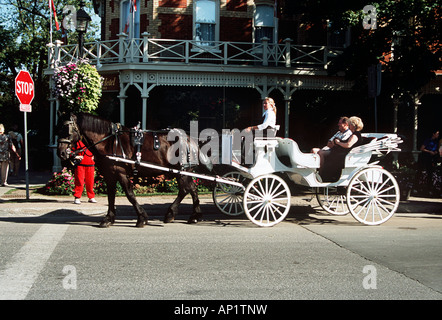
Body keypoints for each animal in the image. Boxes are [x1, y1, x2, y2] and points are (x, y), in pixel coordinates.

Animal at [57, 112, 213, 228]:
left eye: (67, 130)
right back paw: (194, 216)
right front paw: (108, 218)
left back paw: (172, 213)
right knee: (191, 189)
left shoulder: (121, 173)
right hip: (182, 171)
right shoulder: (110, 175)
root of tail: (189, 139)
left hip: (181, 171)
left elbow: (130, 195)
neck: (108, 141)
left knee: (185, 189)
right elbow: (111, 196)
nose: (61, 153)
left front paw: (141, 218)